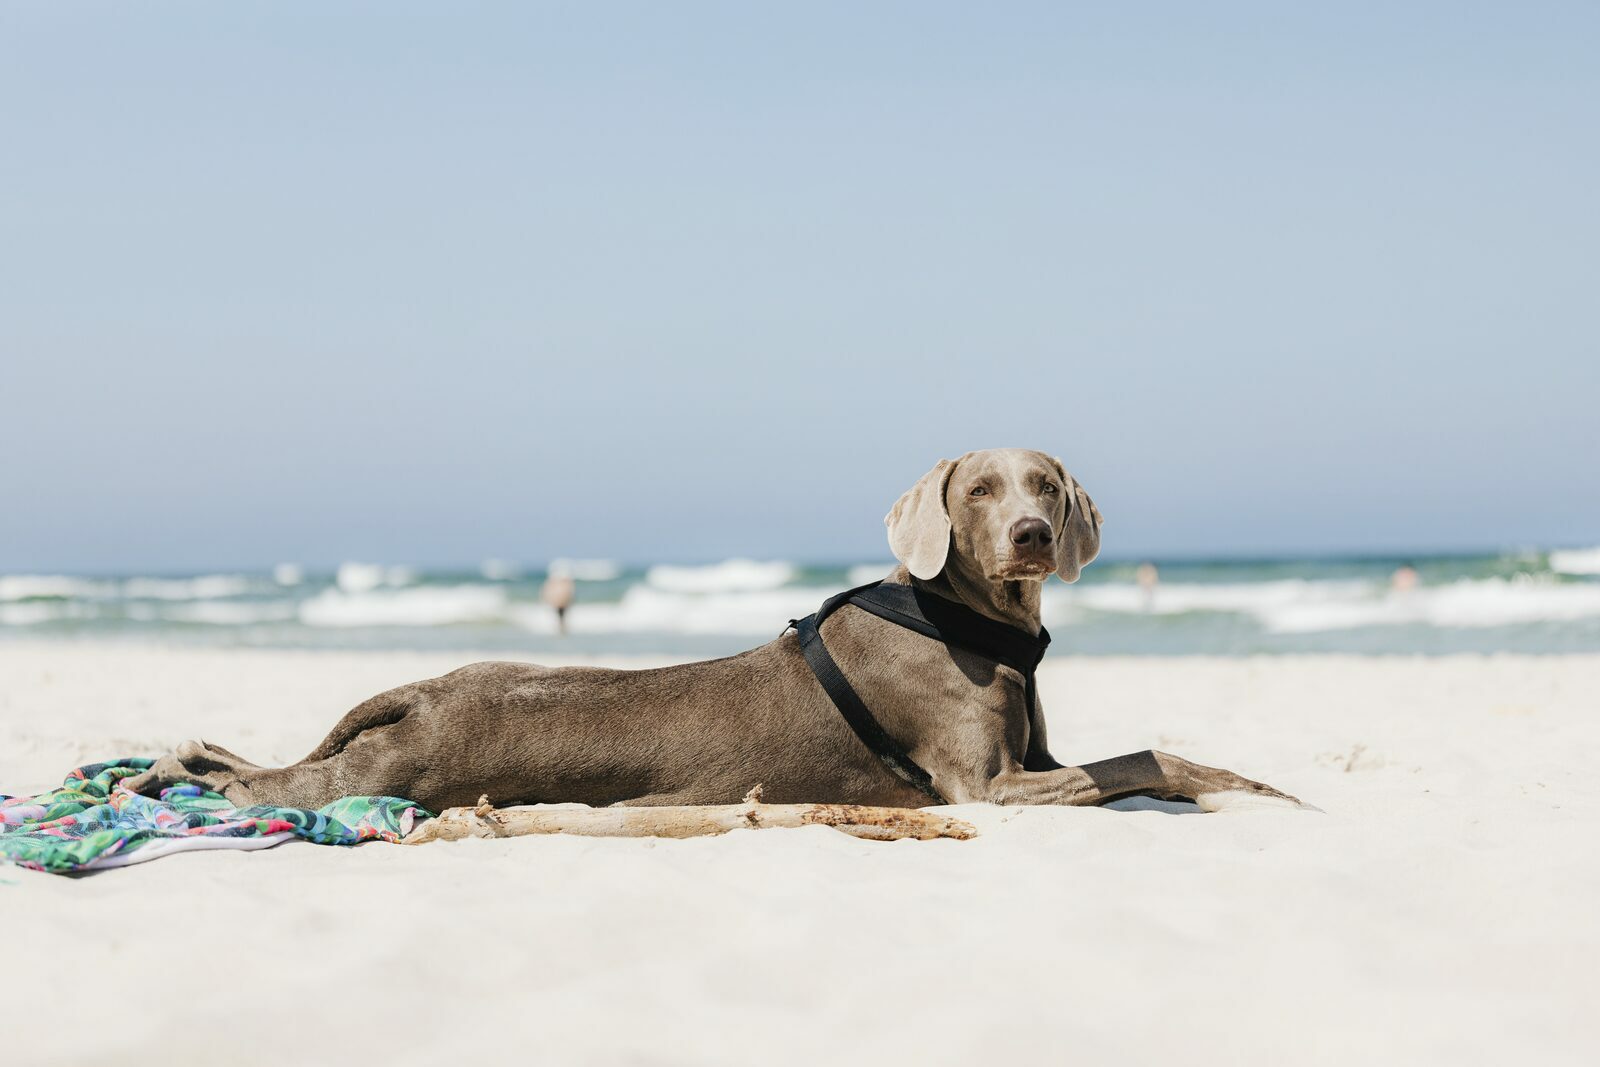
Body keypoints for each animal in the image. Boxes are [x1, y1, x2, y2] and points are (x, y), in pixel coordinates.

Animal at [124, 454, 1299, 819]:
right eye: (977, 488)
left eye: (1044, 482)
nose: (1031, 534)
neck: (967, 615)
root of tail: (422, 690)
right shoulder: (986, 786)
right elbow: (1145, 754)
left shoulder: (1036, 759)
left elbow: (1154, 757)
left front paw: (1256, 783)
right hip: (389, 769)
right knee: (259, 783)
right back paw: (159, 777)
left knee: (249, 759)